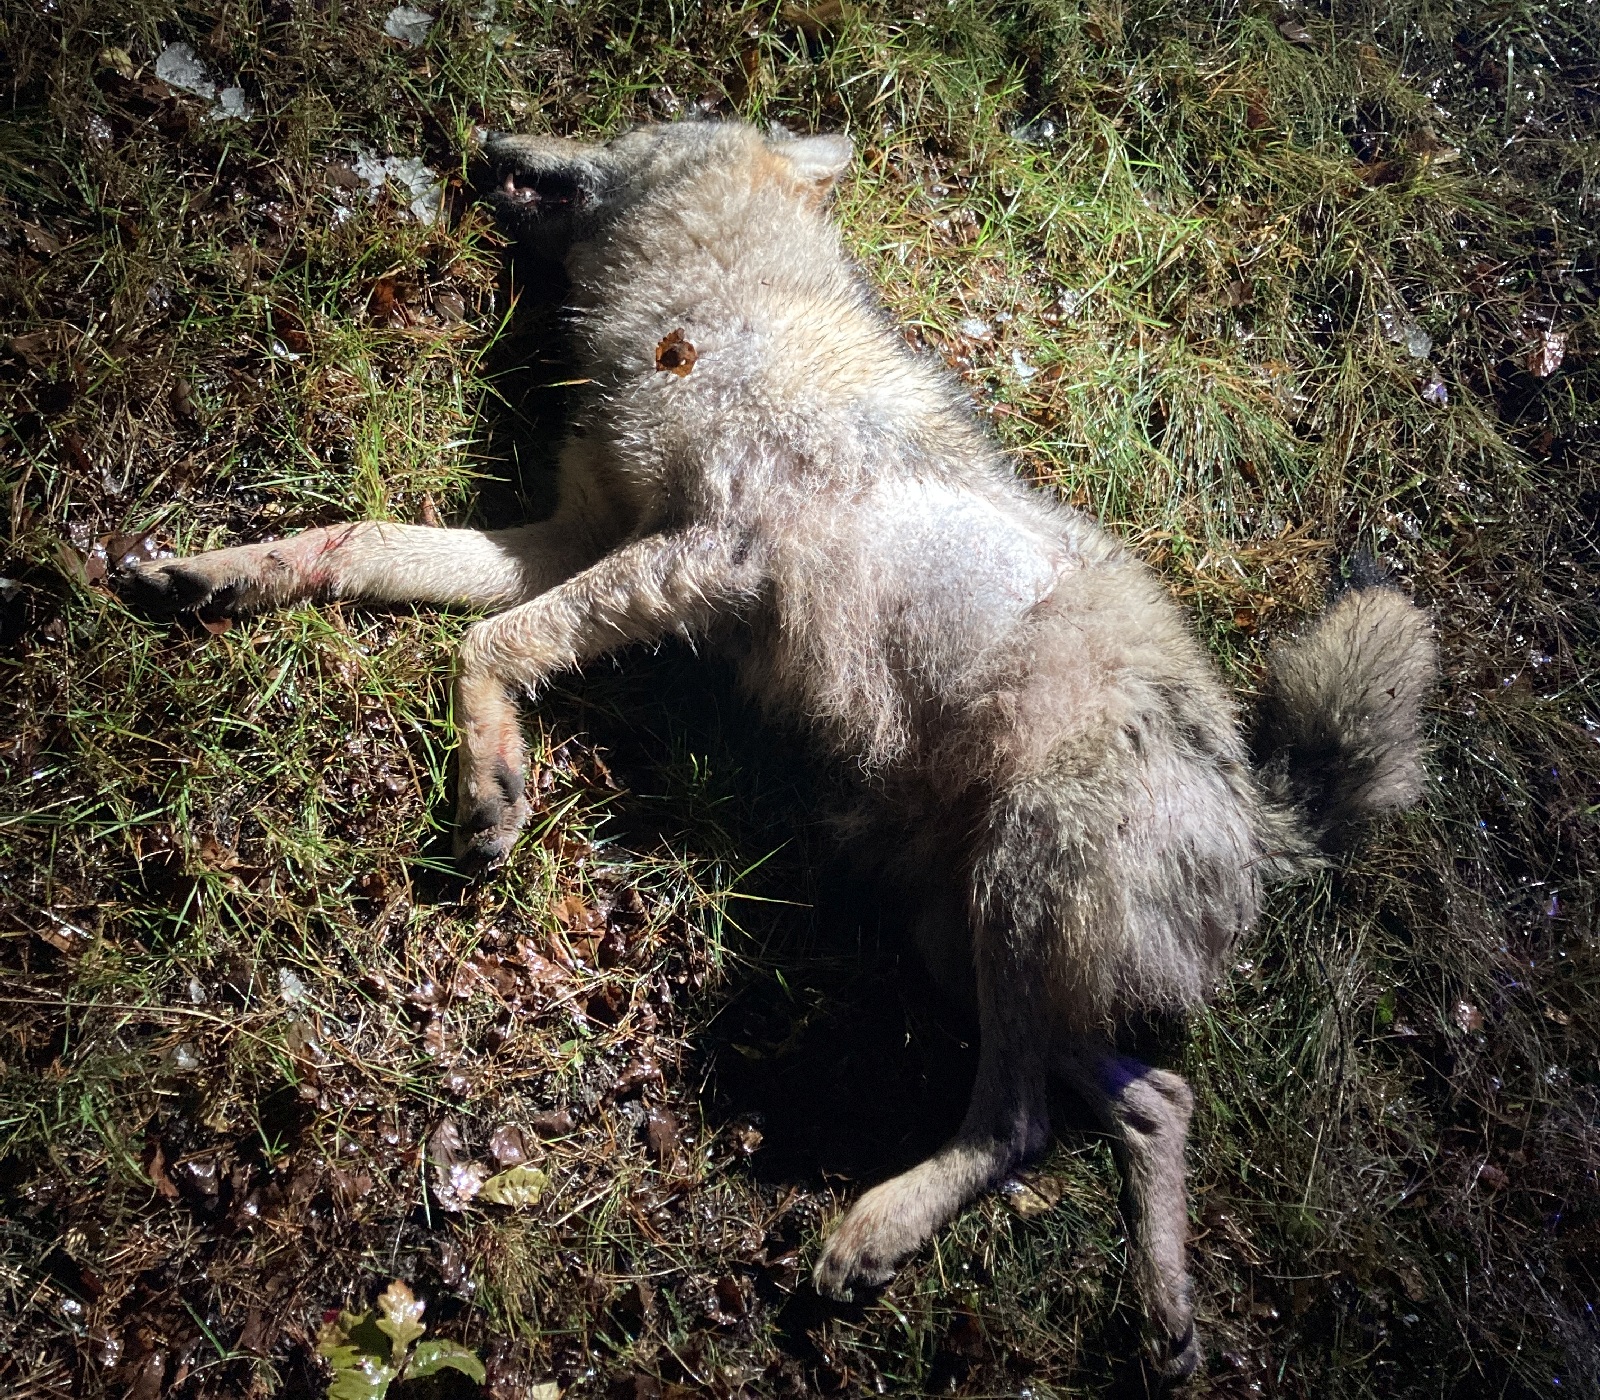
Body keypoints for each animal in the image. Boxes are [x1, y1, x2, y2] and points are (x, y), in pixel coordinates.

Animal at [118, 120, 1433, 1382]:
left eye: (627, 131)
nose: (487, 146)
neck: (714, 311)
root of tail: (1265, 818)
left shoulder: (697, 554)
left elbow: (491, 641)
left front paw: (490, 786)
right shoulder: (570, 536)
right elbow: (370, 544)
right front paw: (218, 572)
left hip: (1015, 889)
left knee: (1017, 1123)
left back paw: (877, 1228)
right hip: (965, 934)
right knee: (1157, 1096)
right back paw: (1165, 1321)